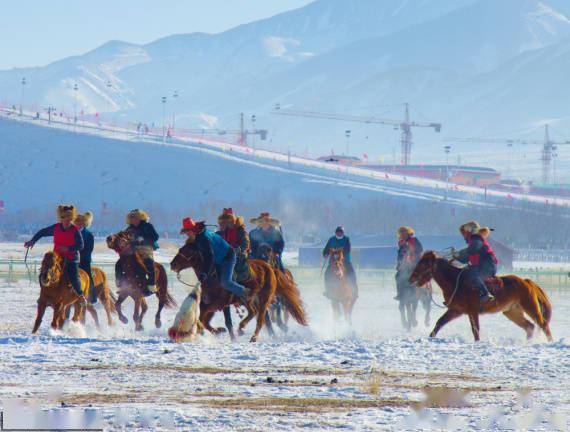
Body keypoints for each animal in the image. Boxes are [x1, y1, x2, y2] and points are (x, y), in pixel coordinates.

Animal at [170, 241, 306, 342]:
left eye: (186, 250)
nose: (172, 264)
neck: (212, 275)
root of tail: (270, 268)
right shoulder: (208, 302)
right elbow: (205, 318)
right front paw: (217, 331)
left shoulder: (220, 302)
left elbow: (206, 317)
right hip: (249, 300)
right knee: (253, 312)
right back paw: (241, 328)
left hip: (264, 299)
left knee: (260, 318)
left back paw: (253, 337)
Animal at [408, 251, 552, 342]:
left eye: (424, 263)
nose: (411, 278)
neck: (455, 281)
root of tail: (527, 282)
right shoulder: (456, 310)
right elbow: (439, 323)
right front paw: (430, 337)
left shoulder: (473, 311)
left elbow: (475, 330)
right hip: (512, 311)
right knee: (529, 327)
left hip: (531, 307)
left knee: (543, 324)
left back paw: (550, 342)